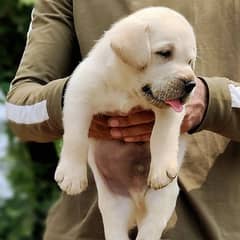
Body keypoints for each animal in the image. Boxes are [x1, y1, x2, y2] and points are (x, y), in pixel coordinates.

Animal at [54, 7, 197, 240]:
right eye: (165, 53)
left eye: (190, 61)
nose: (191, 84)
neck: (128, 88)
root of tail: (137, 200)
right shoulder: (79, 92)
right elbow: (75, 136)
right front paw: (72, 176)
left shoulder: (172, 110)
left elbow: (162, 135)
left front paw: (161, 169)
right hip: (113, 205)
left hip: (162, 200)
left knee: (151, 227)